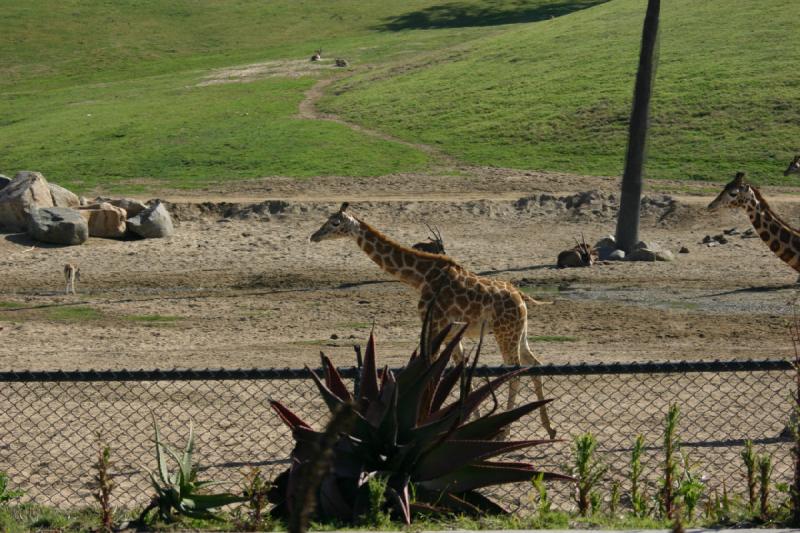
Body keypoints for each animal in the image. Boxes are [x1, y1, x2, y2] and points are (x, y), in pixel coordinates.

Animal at [310, 203, 556, 436]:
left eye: (334, 223)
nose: (314, 236)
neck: (421, 277)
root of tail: (521, 297)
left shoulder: (433, 324)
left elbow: (432, 372)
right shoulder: (450, 331)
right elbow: (461, 372)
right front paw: (461, 421)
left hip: (505, 334)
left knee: (514, 371)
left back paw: (504, 432)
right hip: (519, 332)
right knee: (535, 364)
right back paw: (549, 428)